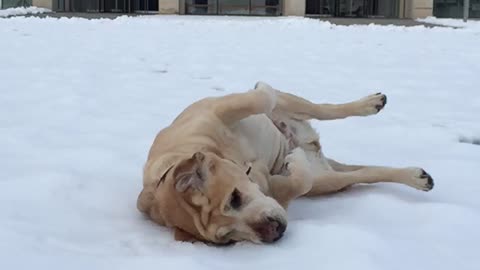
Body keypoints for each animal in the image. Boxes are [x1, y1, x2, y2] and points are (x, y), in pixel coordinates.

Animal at [136, 82, 436, 245]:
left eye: (234, 198)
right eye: (229, 238)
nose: (272, 233)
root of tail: (312, 144)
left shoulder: (215, 110)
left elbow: (261, 97)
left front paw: (261, 87)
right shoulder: (276, 188)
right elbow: (299, 183)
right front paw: (293, 162)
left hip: (294, 104)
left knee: (323, 109)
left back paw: (369, 104)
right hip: (329, 179)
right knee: (364, 173)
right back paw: (415, 177)